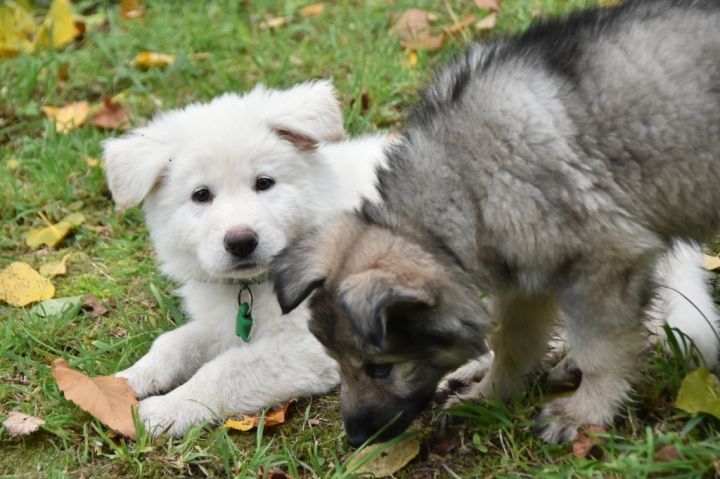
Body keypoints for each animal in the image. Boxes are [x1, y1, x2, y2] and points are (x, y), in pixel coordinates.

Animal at [102, 80, 387, 437]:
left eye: (264, 183)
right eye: (201, 195)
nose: (241, 242)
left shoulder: (311, 345)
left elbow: (224, 371)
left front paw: (163, 410)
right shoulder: (222, 322)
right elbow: (174, 343)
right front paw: (126, 380)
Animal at [272, 0, 720, 446]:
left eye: (380, 367)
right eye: (336, 361)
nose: (355, 438)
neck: (462, 188)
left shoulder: (605, 264)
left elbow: (601, 347)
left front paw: (585, 411)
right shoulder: (524, 273)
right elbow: (513, 344)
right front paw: (488, 395)